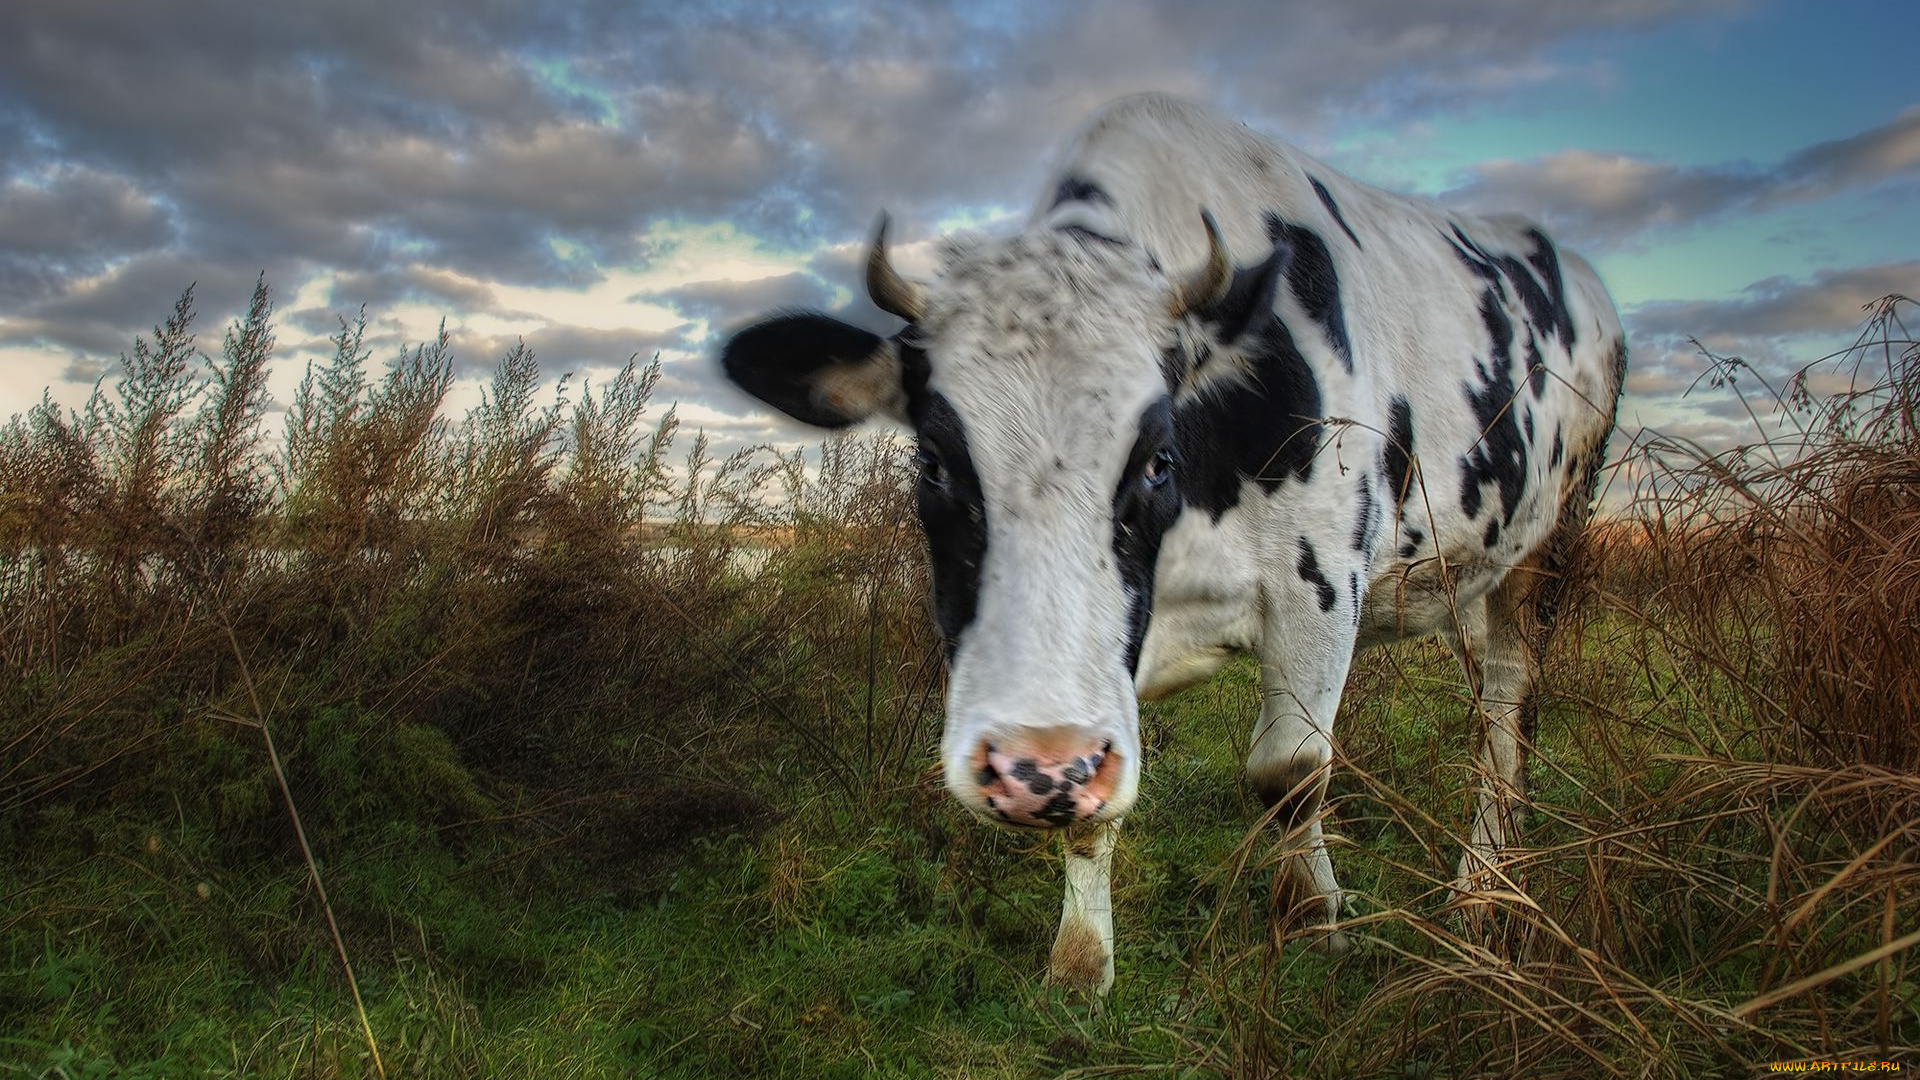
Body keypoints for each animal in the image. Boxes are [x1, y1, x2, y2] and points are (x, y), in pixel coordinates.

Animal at [721, 94, 1620, 991]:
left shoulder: (1323, 586)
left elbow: (1291, 774)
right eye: (932, 461)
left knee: (1508, 705)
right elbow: (1092, 810)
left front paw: (1313, 919)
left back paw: (1484, 889)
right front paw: (1081, 964)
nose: (1030, 770)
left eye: (1158, 460)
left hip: (1550, 542)